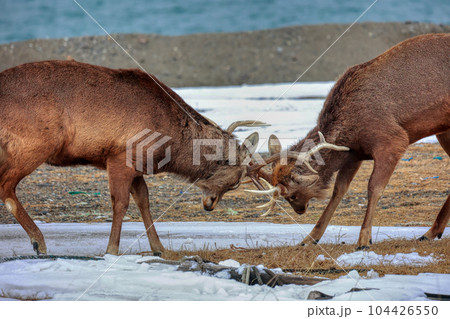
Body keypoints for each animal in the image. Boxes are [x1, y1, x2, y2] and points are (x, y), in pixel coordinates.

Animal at [0, 59, 268, 255]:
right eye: (234, 181)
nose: (210, 204)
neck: (170, 145)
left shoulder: (138, 166)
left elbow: (144, 200)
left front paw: (159, 248)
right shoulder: (120, 157)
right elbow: (120, 204)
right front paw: (111, 249)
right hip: (33, 144)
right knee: (6, 186)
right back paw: (39, 242)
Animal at [248, 34, 450, 250]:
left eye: (291, 195)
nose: (299, 210)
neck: (349, 129)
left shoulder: (392, 140)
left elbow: (374, 187)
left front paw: (364, 240)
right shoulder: (353, 154)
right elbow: (339, 191)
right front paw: (310, 238)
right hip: (444, 130)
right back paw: (430, 233)